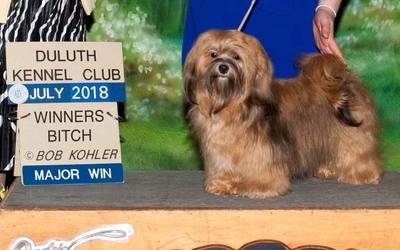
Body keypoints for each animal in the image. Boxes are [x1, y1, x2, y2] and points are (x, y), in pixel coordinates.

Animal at [183, 29, 382, 198]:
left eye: (236, 56)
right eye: (213, 54)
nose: (223, 67)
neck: (230, 104)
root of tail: (344, 80)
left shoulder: (262, 151)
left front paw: (260, 187)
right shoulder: (220, 150)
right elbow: (224, 165)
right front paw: (222, 184)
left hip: (352, 135)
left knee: (358, 152)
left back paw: (363, 174)